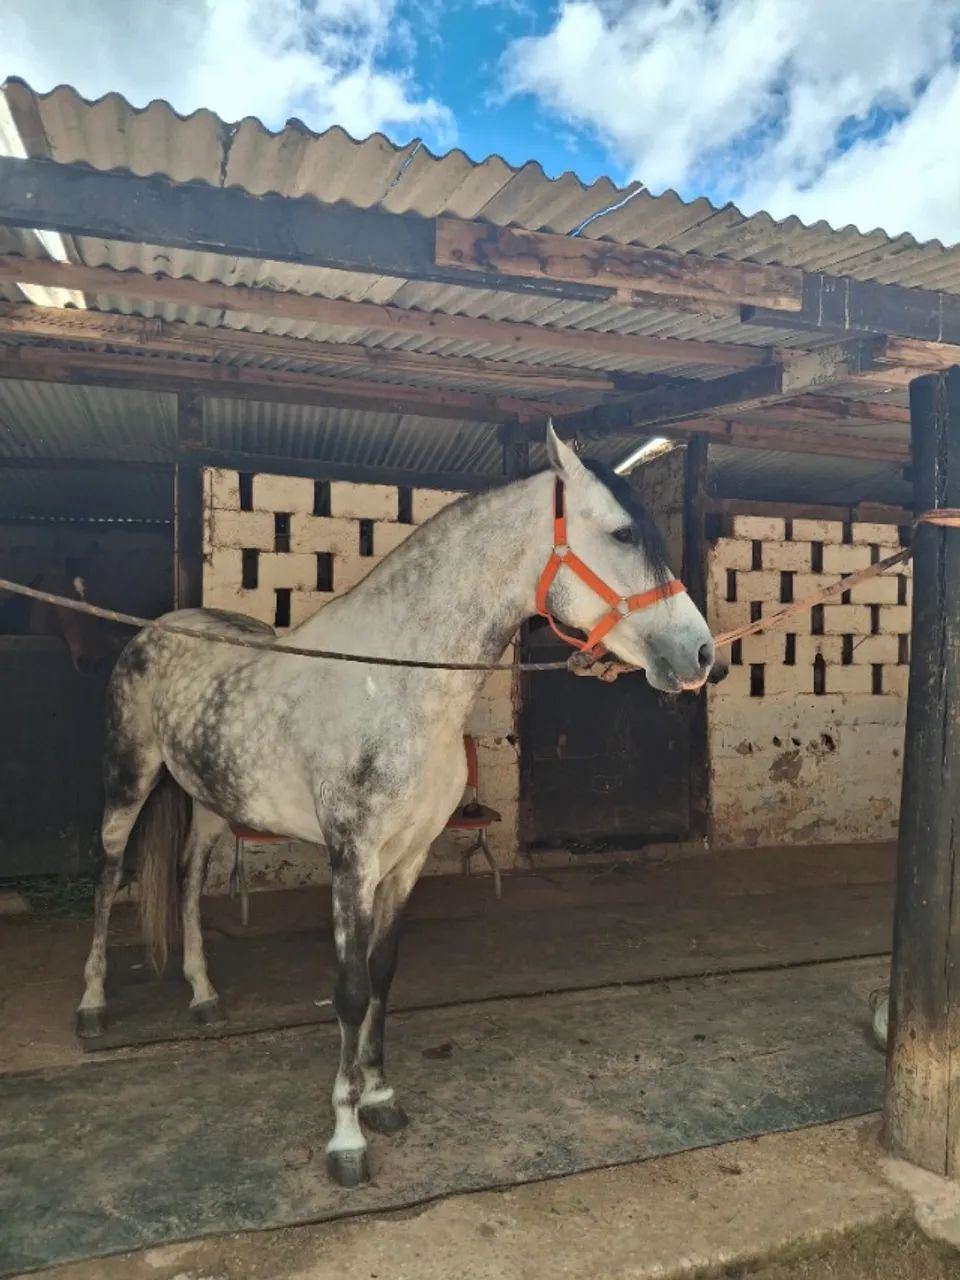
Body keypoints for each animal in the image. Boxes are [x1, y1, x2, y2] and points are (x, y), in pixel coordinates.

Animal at [75, 426, 720, 1188]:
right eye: (623, 533)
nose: (702, 654)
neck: (398, 684)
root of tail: (157, 629)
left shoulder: (407, 857)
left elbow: (383, 974)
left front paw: (380, 1097)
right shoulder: (351, 858)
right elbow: (351, 989)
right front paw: (346, 1137)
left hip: (209, 800)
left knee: (186, 878)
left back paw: (203, 994)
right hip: (129, 781)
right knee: (108, 879)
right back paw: (92, 1006)